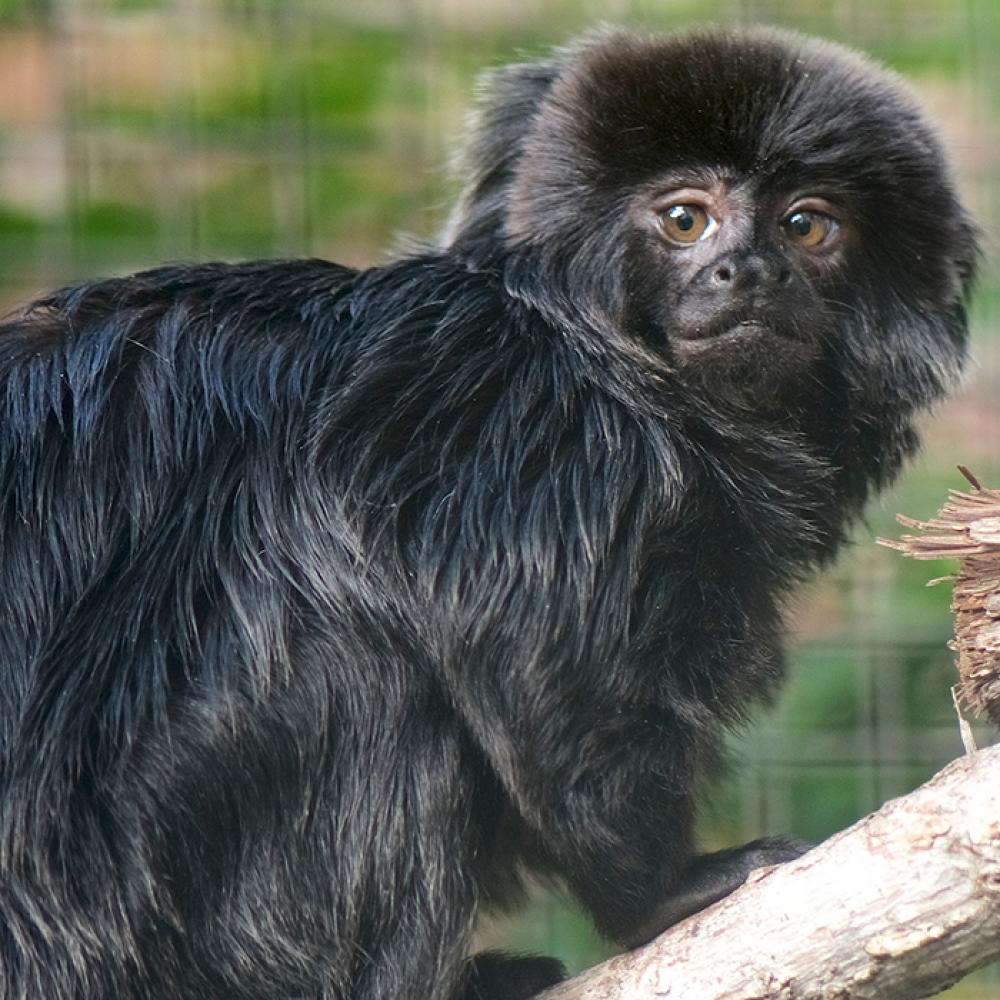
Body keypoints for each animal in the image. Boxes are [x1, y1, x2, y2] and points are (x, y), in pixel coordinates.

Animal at [0, 23, 976, 1000]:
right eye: (684, 219)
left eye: (807, 225)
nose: (749, 273)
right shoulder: (521, 412)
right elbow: (531, 660)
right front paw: (659, 893)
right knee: (363, 666)